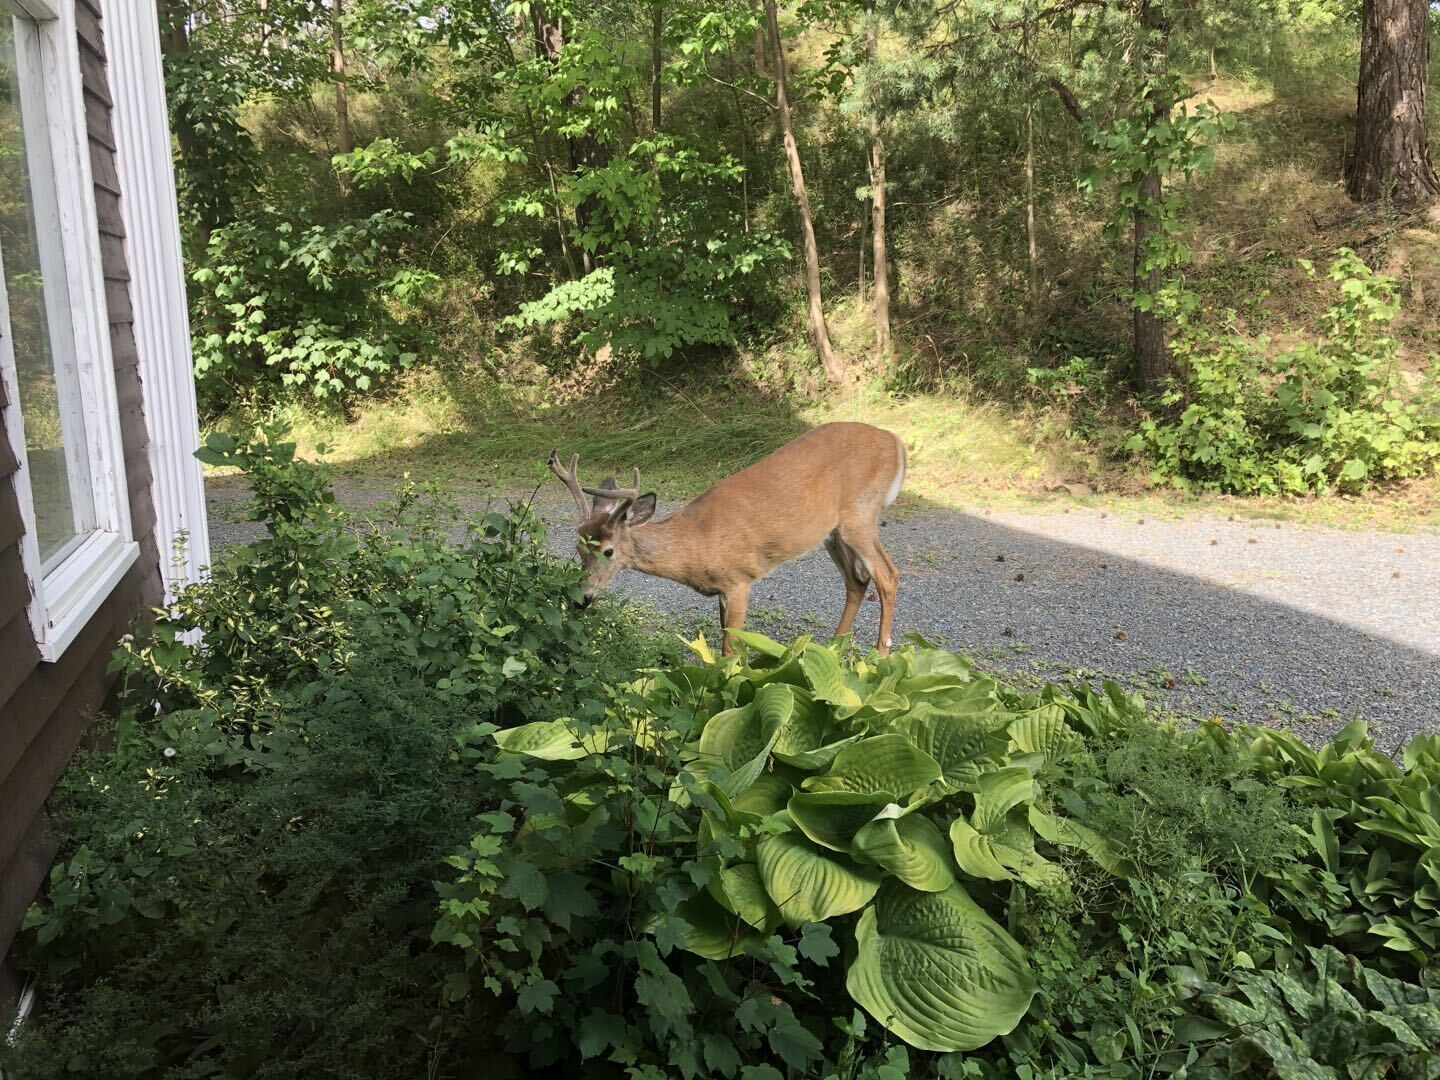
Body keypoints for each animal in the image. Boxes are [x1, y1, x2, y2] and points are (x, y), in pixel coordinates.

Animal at [548, 422, 906, 656]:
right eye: (577, 547)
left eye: (608, 551)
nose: (581, 598)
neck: (696, 542)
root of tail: (897, 443)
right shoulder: (720, 590)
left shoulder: (739, 579)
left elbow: (730, 651)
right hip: (832, 532)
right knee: (856, 581)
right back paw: (830, 649)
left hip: (860, 514)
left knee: (887, 575)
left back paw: (880, 655)